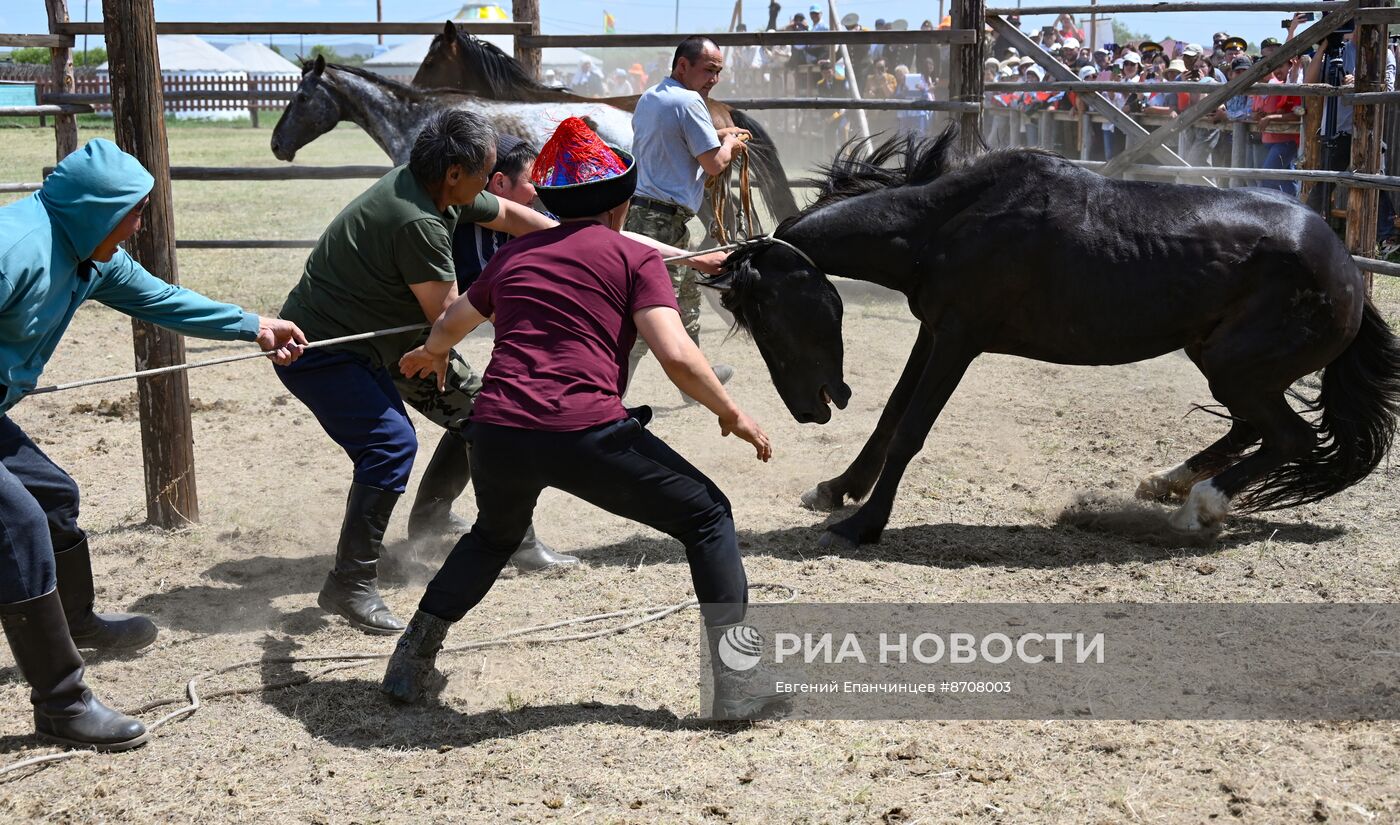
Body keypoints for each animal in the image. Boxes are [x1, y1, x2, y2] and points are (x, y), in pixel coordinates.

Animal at [711, 125, 1400, 543]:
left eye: (766, 317)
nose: (809, 410)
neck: (944, 223)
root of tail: (1346, 271)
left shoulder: (960, 338)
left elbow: (910, 431)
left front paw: (863, 525)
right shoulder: (934, 331)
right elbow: (891, 418)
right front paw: (836, 491)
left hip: (1236, 367)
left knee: (1288, 437)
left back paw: (1198, 506)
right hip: (1220, 358)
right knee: (1253, 430)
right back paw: (1168, 481)